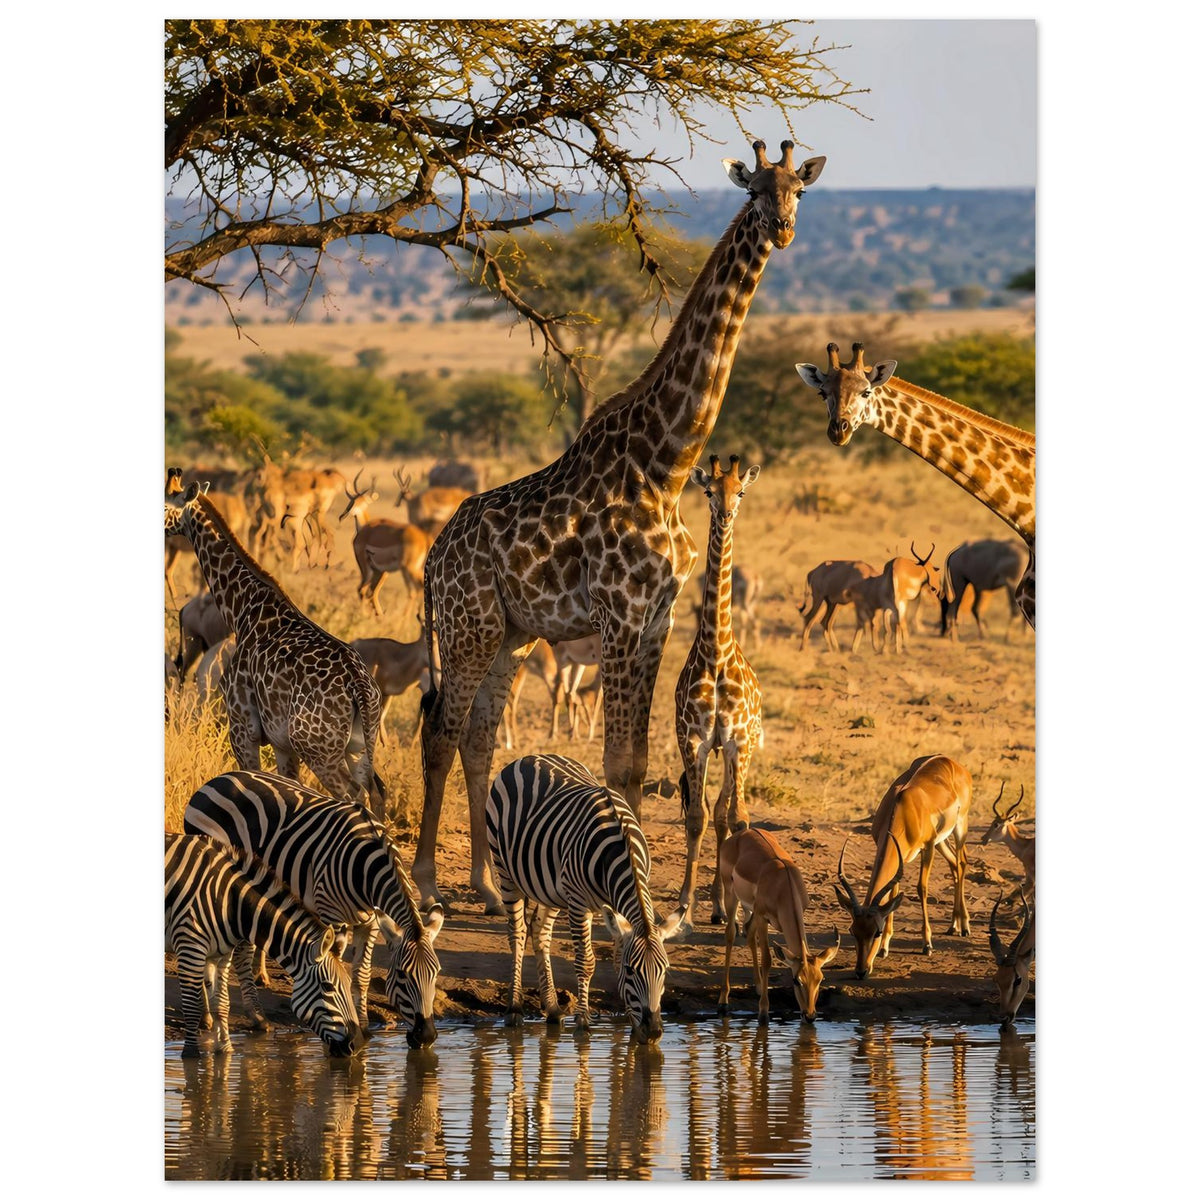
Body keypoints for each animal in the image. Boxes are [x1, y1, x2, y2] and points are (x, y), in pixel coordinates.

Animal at [165, 833, 364, 1059]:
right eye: (328, 987)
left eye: (348, 984)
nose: (357, 1045)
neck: (231, 902)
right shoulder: (190, 944)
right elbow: (191, 1006)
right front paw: (191, 1055)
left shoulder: (220, 955)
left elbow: (222, 1003)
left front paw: (225, 1050)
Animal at [183, 770, 444, 1046]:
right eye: (403, 975)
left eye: (436, 973)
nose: (426, 1036)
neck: (367, 867)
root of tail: (219, 778)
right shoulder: (332, 915)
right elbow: (338, 967)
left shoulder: (371, 922)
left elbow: (362, 975)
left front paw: (363, 1026)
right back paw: (240, 1017)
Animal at [485, 754, 686, 1042]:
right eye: (632, 971)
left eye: (666, 970)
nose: (653, 1032)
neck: (621, 849)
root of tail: (529, 757)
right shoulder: (579, 902)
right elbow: (586, 961)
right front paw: (583, 1022)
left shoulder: (613, 907)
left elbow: (615, 957)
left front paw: (630, 1024)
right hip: (506, 871)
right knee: (518, 934)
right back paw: (514, 1009)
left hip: (551, 888)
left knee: (540, 931)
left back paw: (553, 1009)